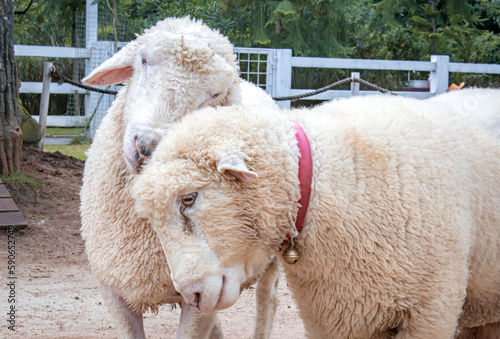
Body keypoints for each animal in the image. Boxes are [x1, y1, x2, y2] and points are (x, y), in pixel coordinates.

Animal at [80, 16, 280, 339]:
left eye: (215, 94)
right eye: (143, 59)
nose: (146, 147)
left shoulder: (205, 291)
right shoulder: (112, 286)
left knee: (267, 300)